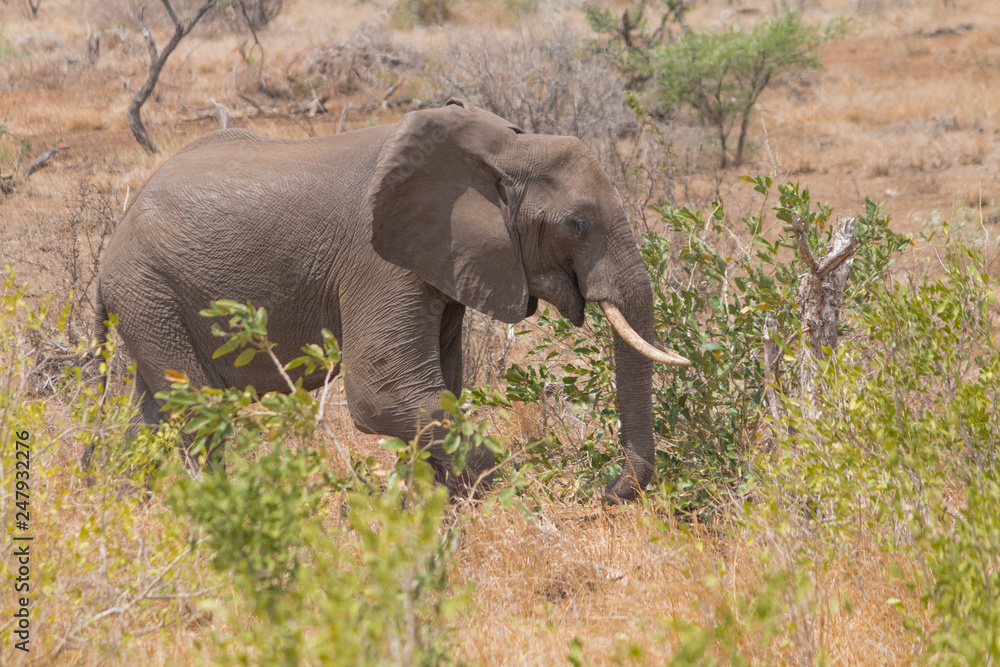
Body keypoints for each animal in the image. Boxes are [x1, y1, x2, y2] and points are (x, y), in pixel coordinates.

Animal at [94, 98, 689, 502]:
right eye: (578, 224)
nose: (608, 490)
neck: (505, 150)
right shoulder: (379, 260)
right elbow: (381, 392)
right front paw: (514, 497)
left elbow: (440, 388)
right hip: (148, 288)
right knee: (197, 411)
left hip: (148, 301)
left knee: (149, 416)